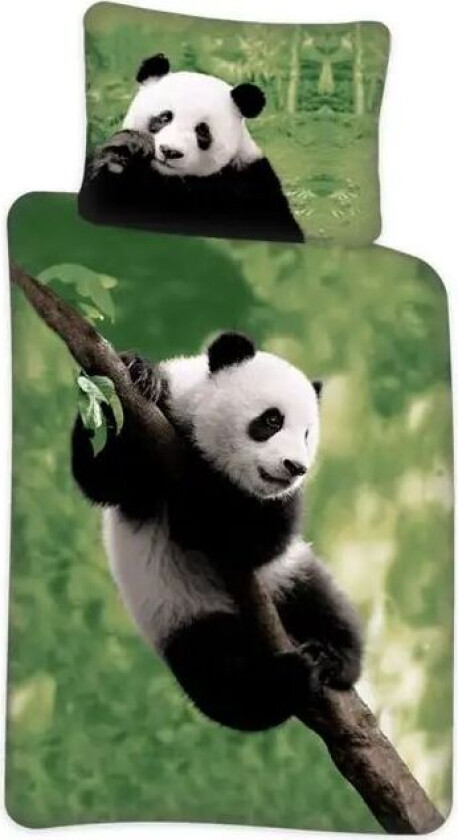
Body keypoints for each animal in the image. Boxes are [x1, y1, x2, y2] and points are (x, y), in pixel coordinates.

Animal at [72, 332, 362, 731]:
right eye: (272, 419)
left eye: (306, 435)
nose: (294, 468)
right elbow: (102, 476)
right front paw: (138, 373)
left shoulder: (274, 508)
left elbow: (258, 541)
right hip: (184, 616)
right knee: (222, 676)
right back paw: (288, 676)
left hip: (286, 580)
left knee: (323, 604)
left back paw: (331, 657)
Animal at [79, 54, 305, 243]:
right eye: (164, 117)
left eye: (202, 131)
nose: (170, 151)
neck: (171, 179)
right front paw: (125, 154)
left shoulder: (250, 183)